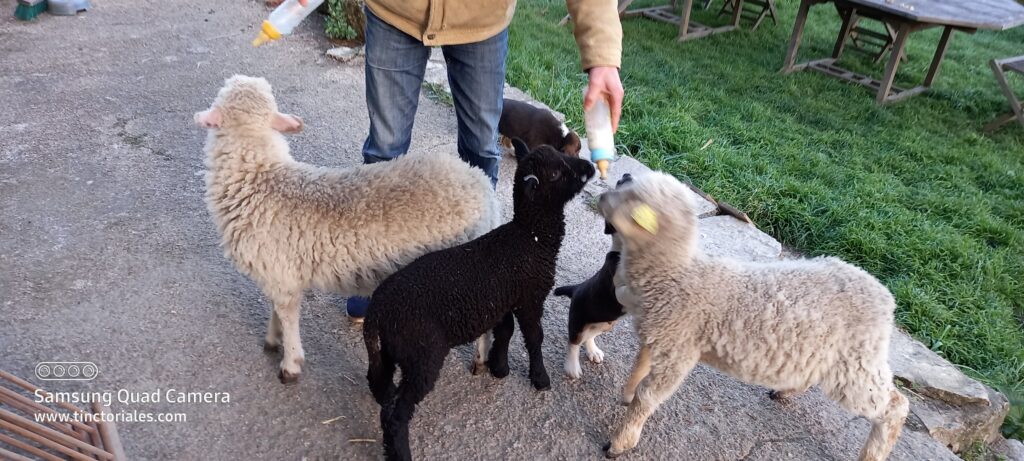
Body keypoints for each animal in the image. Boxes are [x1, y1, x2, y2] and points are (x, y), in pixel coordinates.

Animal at [194, 75, 499, 383]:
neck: (262, 179)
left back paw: (480, 359)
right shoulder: (279, 274)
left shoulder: (283, 277)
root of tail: (482, 184)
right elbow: (276, 311)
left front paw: (290, 363)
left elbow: (287, 317)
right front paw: (272, 339)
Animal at [364, 138, 598, 458]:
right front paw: (540, 378)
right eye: (555, 174)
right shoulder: (529, 297)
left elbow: (505, 331)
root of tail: (377, 314)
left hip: (387, 352)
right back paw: (401, 452)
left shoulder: (503, 299)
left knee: (377, 383)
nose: (590, 167)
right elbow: (533, 337)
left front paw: (499, 368)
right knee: (396, 413)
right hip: (422, 354)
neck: (530, 237)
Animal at [598, 172, 909, 461]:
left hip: (856, 364)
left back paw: (874, 451)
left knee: (895, 405)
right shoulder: (660, 334)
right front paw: (627, 395)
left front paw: (621, 441)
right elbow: (639, 368)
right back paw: (786, 391)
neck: (675, 274)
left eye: (632, 194)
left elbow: (648, 396)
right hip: (824, 352)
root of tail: (885, 296)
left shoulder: (679, 350)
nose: (621, 176)